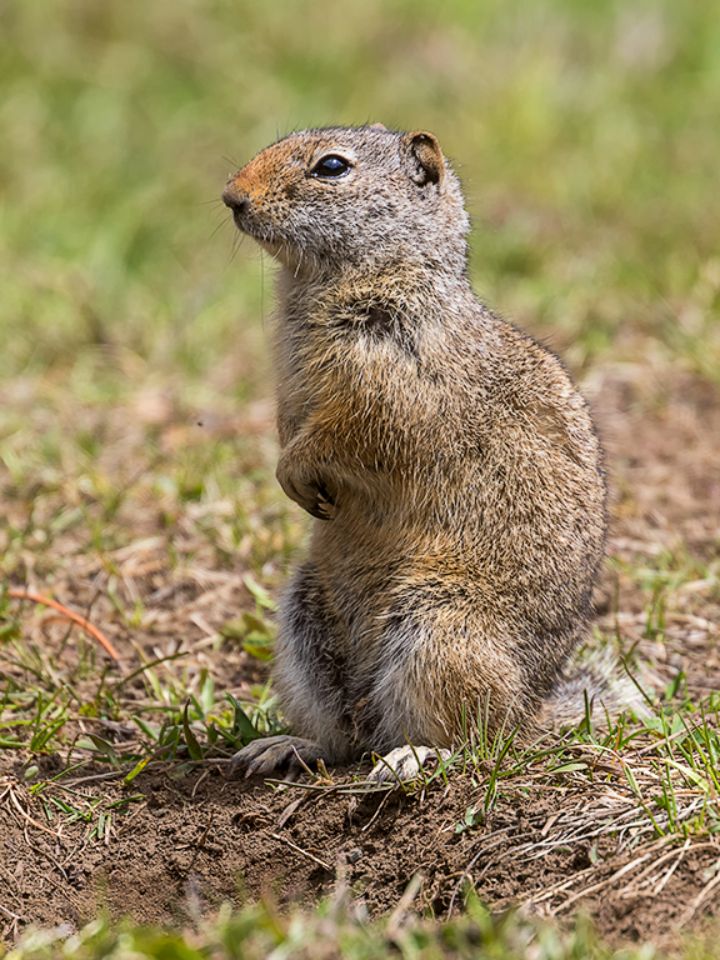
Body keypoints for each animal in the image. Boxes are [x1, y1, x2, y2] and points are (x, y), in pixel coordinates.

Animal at [222, 124, 640, 781]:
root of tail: (533, 709)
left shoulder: (393, 383)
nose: (231, 197)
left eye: (331, 167)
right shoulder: (290, 383)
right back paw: (283, 746)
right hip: (302, 628)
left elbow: (346, 432)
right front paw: (290, 475)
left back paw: (413, 756)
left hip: (438, 632)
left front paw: (294, 472)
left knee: (473, 739)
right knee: (344, 738)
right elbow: (289, 420)